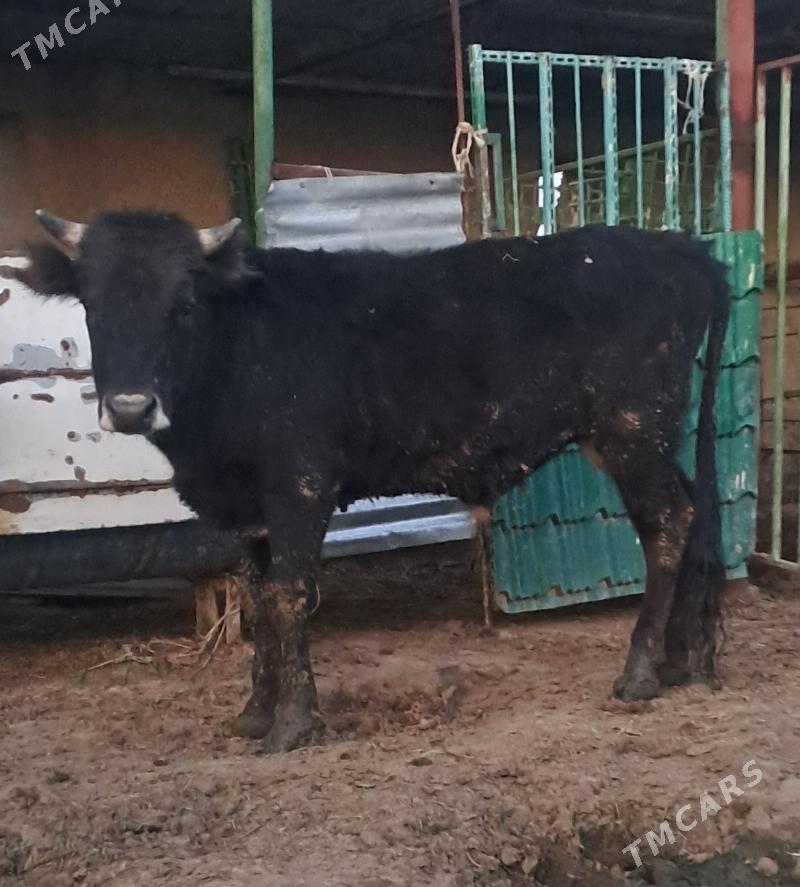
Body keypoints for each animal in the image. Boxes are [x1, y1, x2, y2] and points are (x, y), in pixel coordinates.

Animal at [8, 210, 729, 753]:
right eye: (92, 306)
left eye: (183, 303)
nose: (130, 407)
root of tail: (680, 249)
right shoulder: (250, 511)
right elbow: (259, 598)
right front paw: (253, 714)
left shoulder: (299, 485)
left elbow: (287, 598)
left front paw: (293, 723)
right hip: (645, 437)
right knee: (694, 511)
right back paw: (684, 659)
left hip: (631, 429)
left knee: (667, 523)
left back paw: (641, 672)